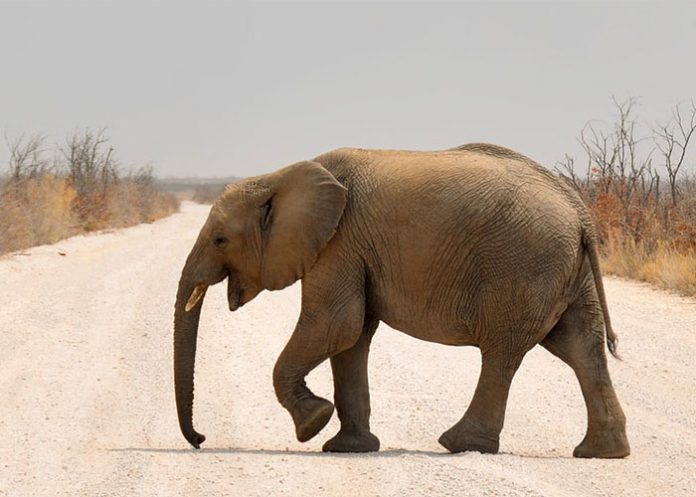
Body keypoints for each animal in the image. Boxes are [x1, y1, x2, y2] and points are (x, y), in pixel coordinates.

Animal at [173, 143, 630, 458]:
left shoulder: (338, 243)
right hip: (567, 272)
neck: (279, 177)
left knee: (503, 352)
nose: (200, 439)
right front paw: (346, 447)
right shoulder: (351, 249)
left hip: (523, 266)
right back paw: (601, 453)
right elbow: (352, 336)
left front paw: (313, 425)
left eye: (220, 239)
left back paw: (459, 444)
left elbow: (335, 324)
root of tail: (580, 211)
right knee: (581, 347)